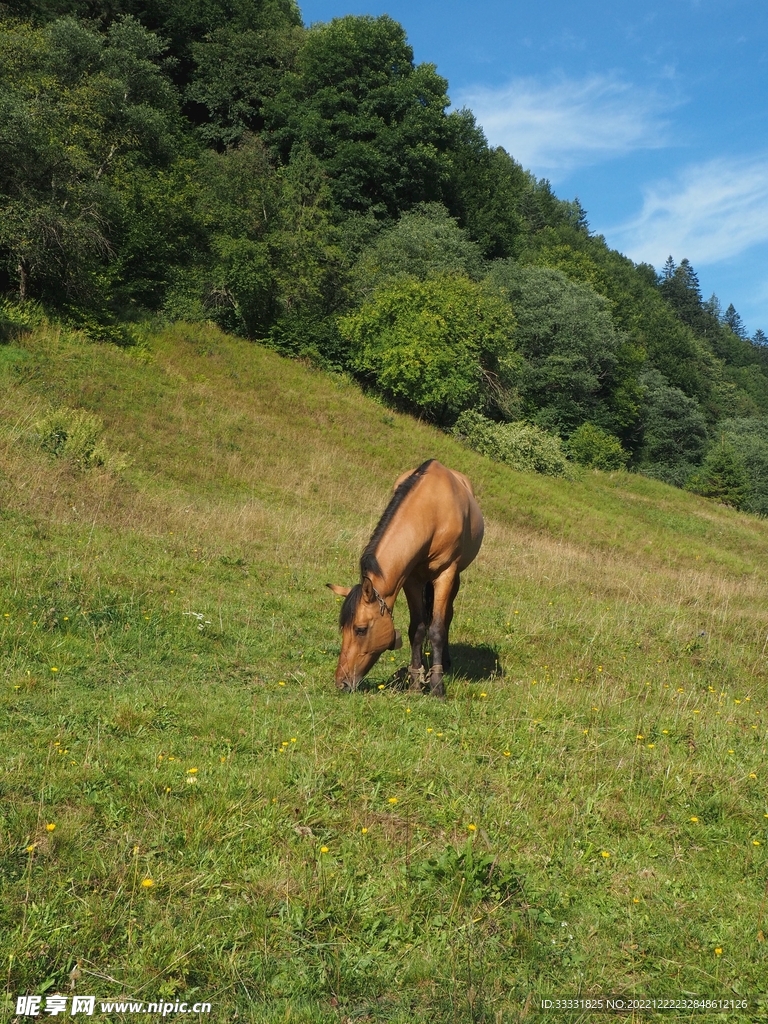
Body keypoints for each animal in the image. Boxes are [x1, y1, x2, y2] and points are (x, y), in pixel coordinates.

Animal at [327, 459, 484, 696]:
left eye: (360, 629)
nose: (341, 682)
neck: (432, 511)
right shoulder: (411, 579)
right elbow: (417, 629)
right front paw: (415, 684)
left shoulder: (446, 574)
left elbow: (437, 628)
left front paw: (437, 686)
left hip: (455, 577)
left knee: (447, 616)